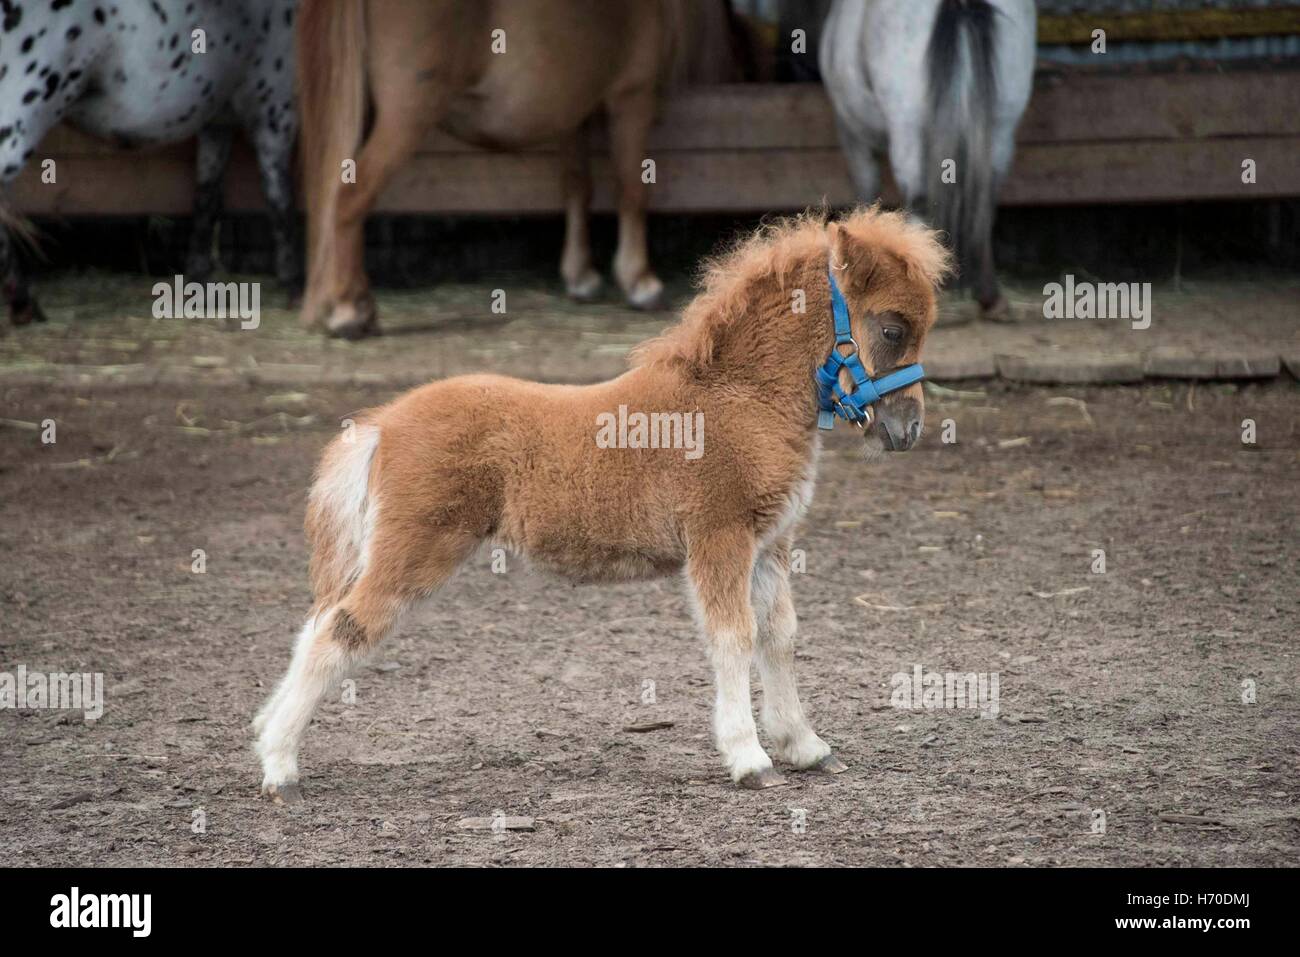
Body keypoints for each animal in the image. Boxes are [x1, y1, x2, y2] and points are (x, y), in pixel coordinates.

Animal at [0, 0, 297, 325]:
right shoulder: (275, 114)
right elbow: (279, 200)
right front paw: (292, 284)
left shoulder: (218, 123)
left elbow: (207, 199)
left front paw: (200, 283)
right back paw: (22, 303)